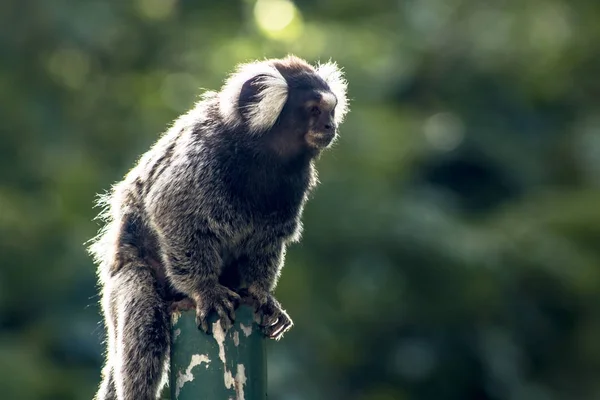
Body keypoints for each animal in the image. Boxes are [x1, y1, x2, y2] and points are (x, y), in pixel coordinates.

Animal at [91, 54, 350, 398]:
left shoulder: (293, 185)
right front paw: (206, 289)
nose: (330, 126)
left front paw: (260, 292)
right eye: (314, 110)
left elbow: (267, 241)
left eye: (331, 110)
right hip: (123, 279)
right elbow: (171, 210)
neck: (261, 156)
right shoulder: (202, 156)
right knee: (143, 319)